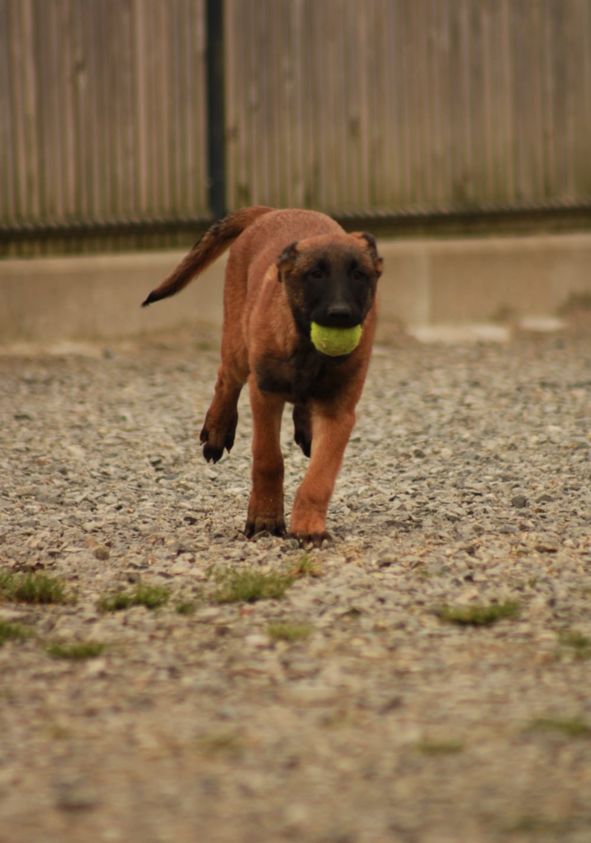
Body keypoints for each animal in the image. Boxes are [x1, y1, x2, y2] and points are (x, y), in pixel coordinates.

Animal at [143, 208, 384, 544]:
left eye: (359, 275)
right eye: (315, 274)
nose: (341, 315)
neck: (307, 349)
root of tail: (273, 210)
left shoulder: (339, 412)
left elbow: (320, 476)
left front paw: (309, 526)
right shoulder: (265, 394)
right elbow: (269, 460)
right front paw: (266, 518)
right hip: (238, 344)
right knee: (226, 380)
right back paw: (217, 430)